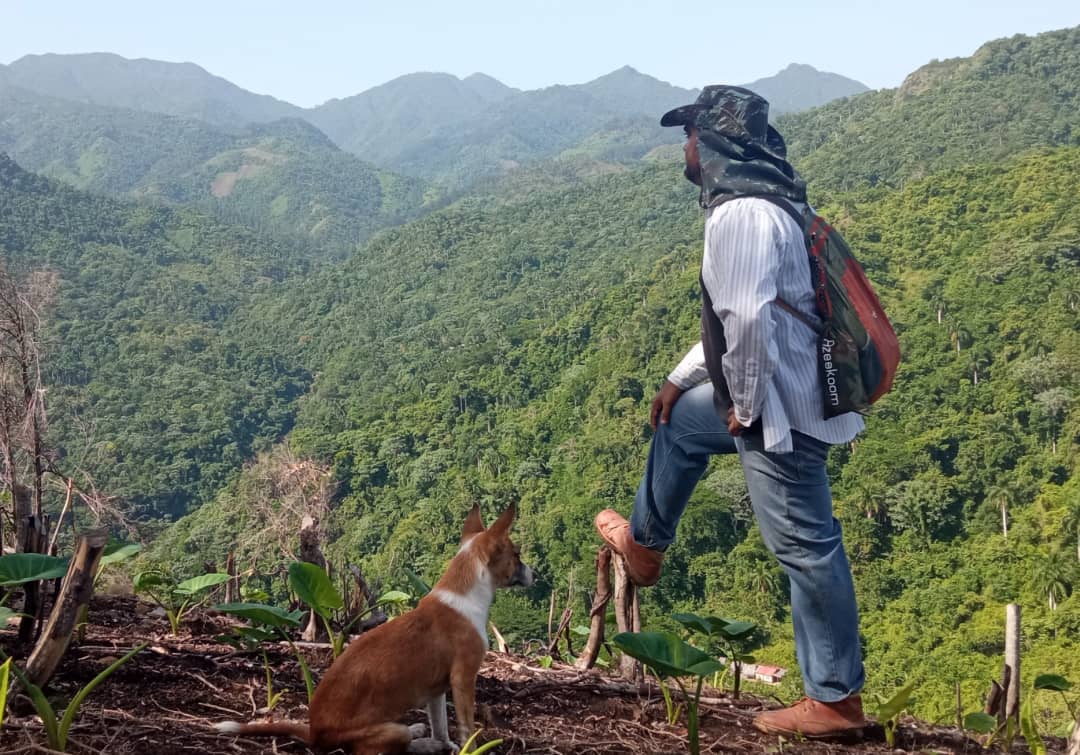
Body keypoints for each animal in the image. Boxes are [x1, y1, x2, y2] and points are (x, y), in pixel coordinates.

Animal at [212, 501, 533, 755]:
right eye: (517, 555)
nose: (534, 572)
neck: (466, 589)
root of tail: (313, 731)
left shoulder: (436, 690)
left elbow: (441, 724)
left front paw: (445, 744)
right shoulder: (463, 679)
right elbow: (467, 727)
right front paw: (469, 748)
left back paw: (424, 736)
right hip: (387, 731)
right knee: (385, 748)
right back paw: (421, 741)